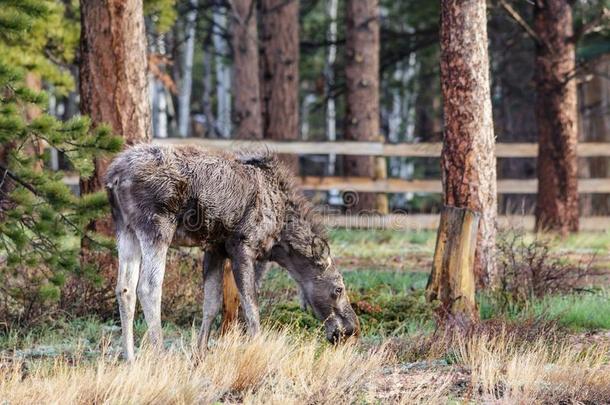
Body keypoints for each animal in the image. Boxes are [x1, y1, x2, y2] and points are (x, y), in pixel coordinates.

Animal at [105, 144, 356, 358]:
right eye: (338, 288)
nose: (351, 329)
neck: (280, 237)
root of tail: (114, 177)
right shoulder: (243, 245)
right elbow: (251, 305)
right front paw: (258, 348)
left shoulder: (214, 248)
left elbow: (212, 304)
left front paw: (199, 355)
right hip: (157, 227)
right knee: (148, 288)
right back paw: (159, 355)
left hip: (125, 228)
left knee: (124, 288)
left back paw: (130, 360)